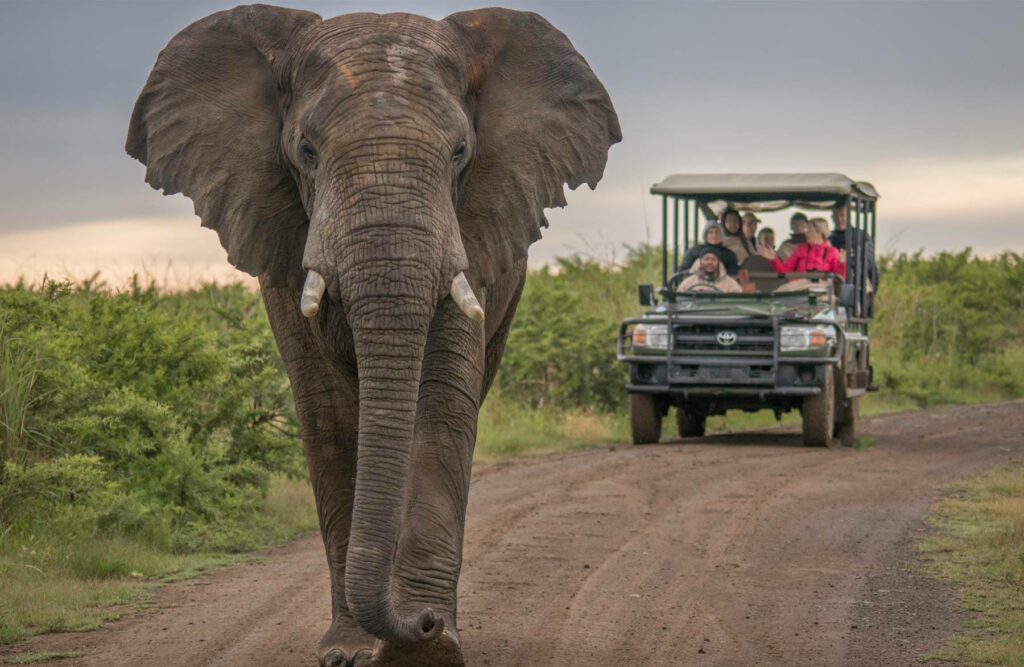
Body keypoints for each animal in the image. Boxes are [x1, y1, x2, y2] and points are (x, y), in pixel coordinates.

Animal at [126, 5, 619, 665]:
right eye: (306, 152)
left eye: (461, 151)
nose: (425, 624)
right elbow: (329, 416)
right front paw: (353, 651)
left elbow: (440, 406)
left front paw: (430, 651)